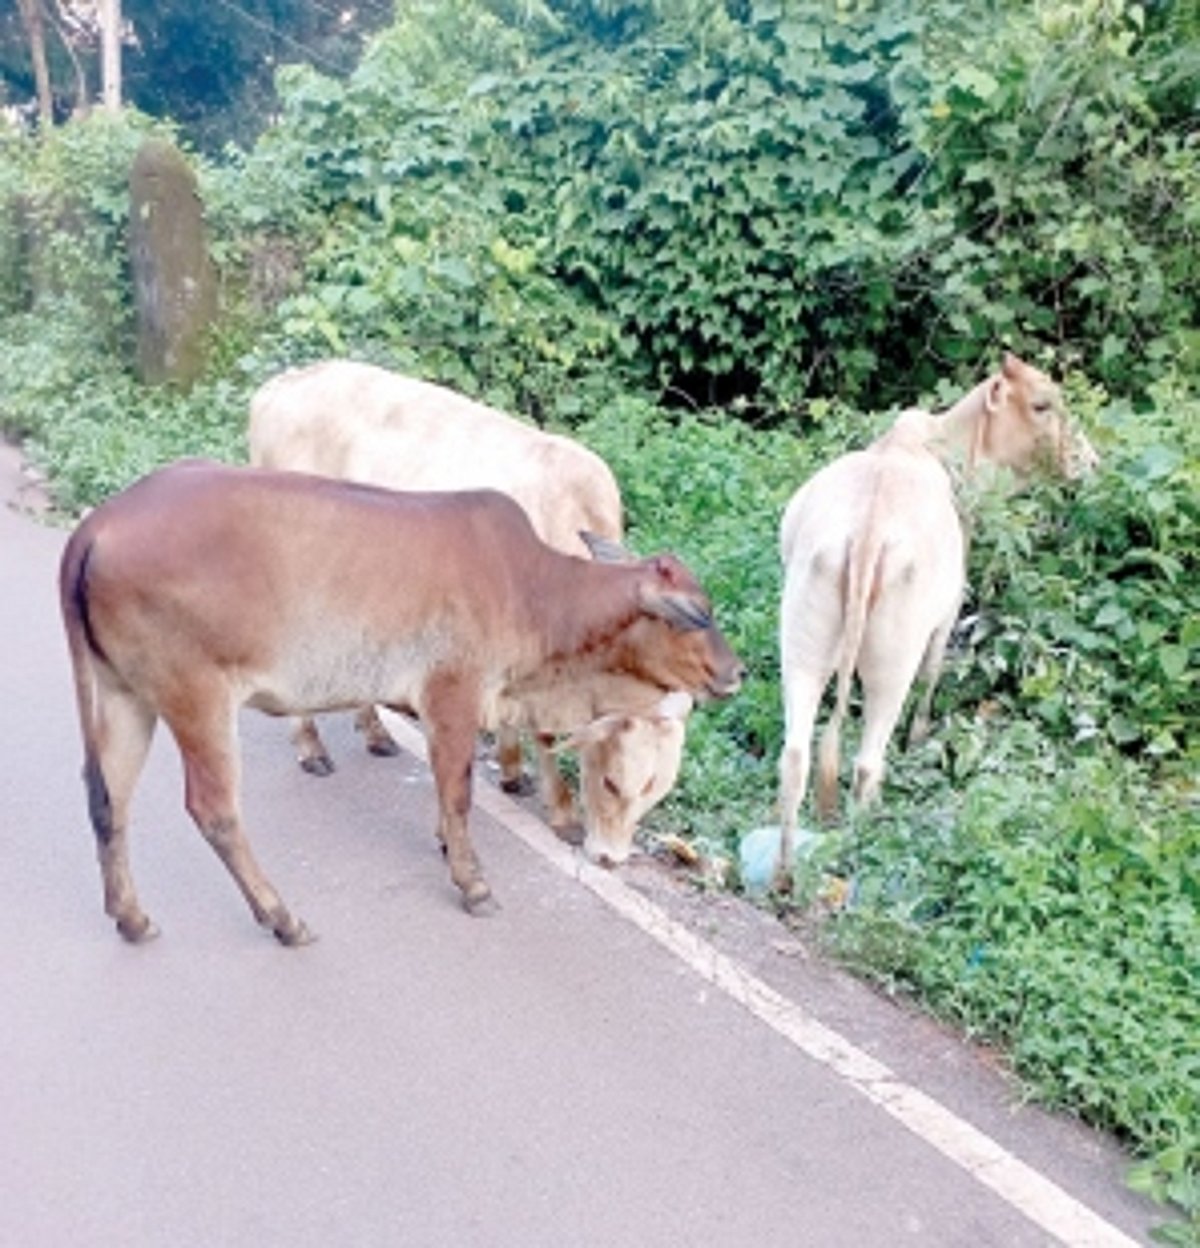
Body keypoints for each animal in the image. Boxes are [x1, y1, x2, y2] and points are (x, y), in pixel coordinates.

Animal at [59, 460, 744, 944]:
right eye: (698, 614)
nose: (736, 673)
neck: (535, 594)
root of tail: (98, 525)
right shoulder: (453, 697)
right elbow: (458, 794)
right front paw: (472, 882)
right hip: (197, 698)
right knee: (214, 811)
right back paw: (282, 918)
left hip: (123, 693)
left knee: (107, 798)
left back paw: (131, 917)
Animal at [248, 359, 688, 866]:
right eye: (613, 782)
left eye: (655, 791)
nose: (609, 858)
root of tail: (287, 381)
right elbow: (539, 733)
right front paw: (561, 813)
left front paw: (513, 773)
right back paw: (311, 747)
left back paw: (375, 732)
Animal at [777, 354, 1097, 873]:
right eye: (1042, 404)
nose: (1089, 460)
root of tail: (866, 535)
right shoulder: (946, 615)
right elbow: (931, 677)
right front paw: (919, 737)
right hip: (893, 661)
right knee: (867, 762)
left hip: (802, 644)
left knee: (796, 757)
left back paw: (785, 871)